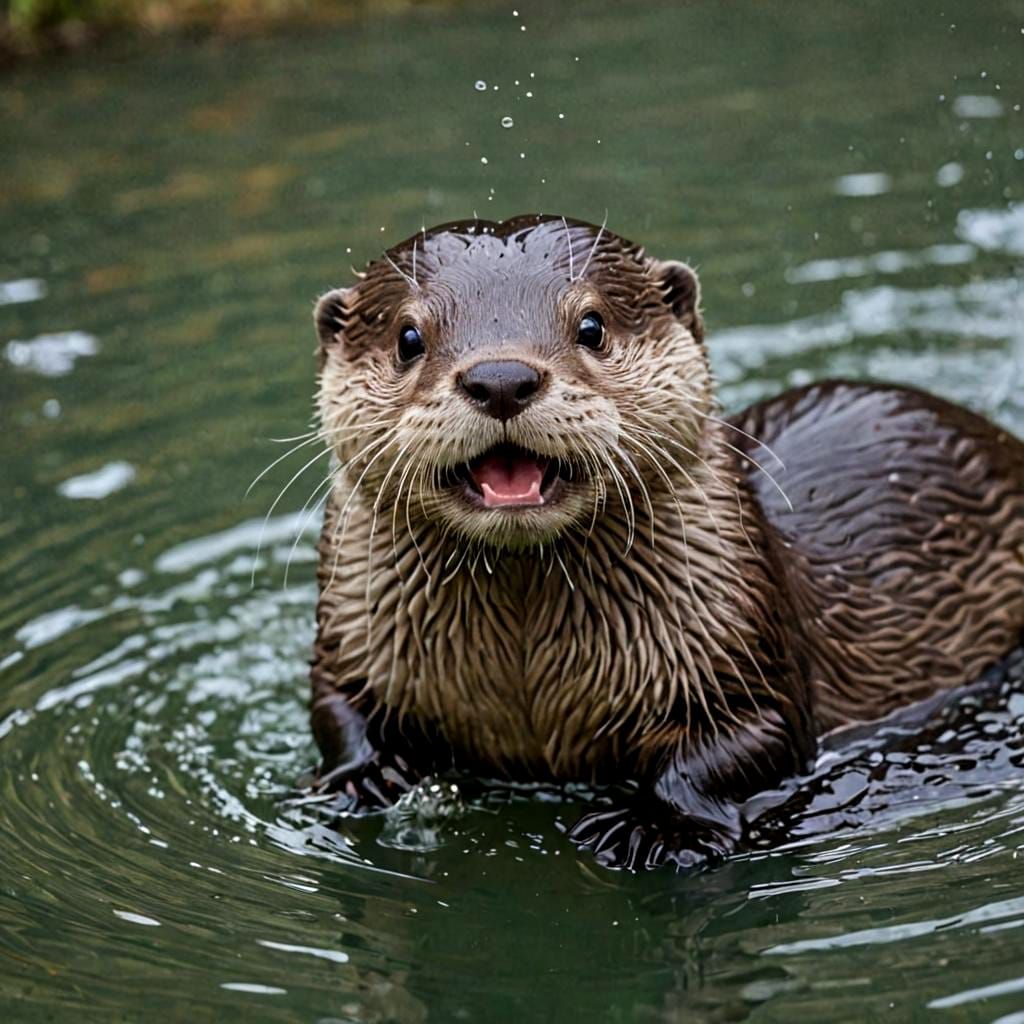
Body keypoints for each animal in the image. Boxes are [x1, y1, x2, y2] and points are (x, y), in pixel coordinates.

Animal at [306, 214, 1024, 870]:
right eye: (408, 337)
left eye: (591, 326)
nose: (502, 378)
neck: (525, 679)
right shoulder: (351, 636)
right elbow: (334, 707)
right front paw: (365, 774)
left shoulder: (738, 641)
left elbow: (745, 742)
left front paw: (659, 828)